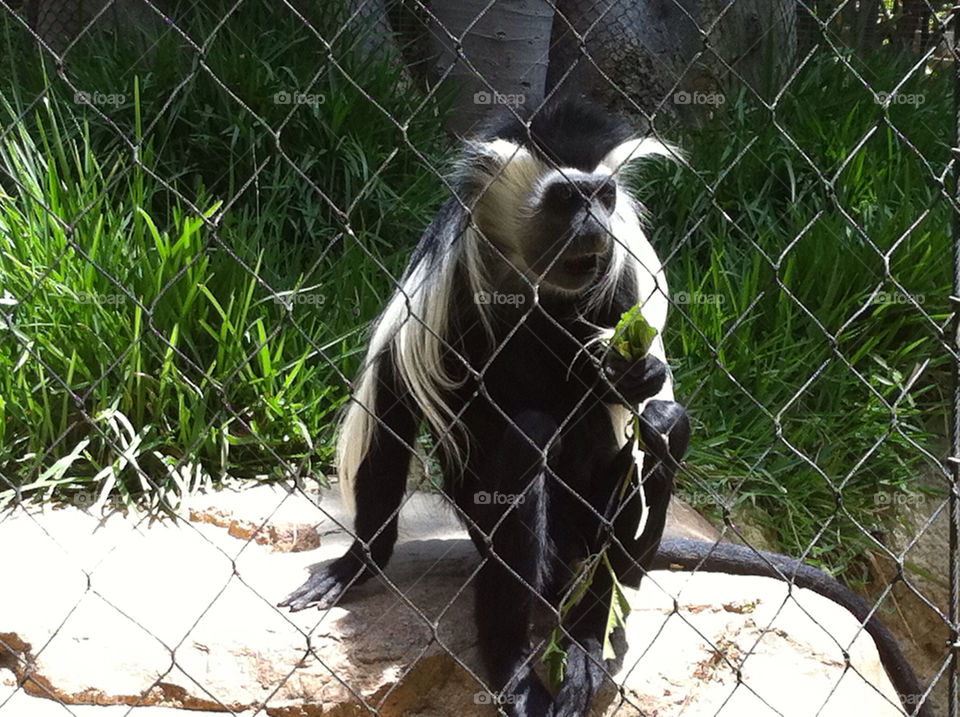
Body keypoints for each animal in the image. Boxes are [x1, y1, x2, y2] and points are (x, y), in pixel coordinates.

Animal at [284, 102, 928, 717]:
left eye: (604, 196)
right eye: (568, 198)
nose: (594, 225)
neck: (535, 285)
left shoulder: (624, 271)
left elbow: (648, 395)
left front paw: (633, 375)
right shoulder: (445, 274)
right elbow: (393, 399)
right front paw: (356, 563)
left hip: (606, 533)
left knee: (658, 444)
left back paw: (586, 647)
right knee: (527, 444)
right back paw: (513, 666)